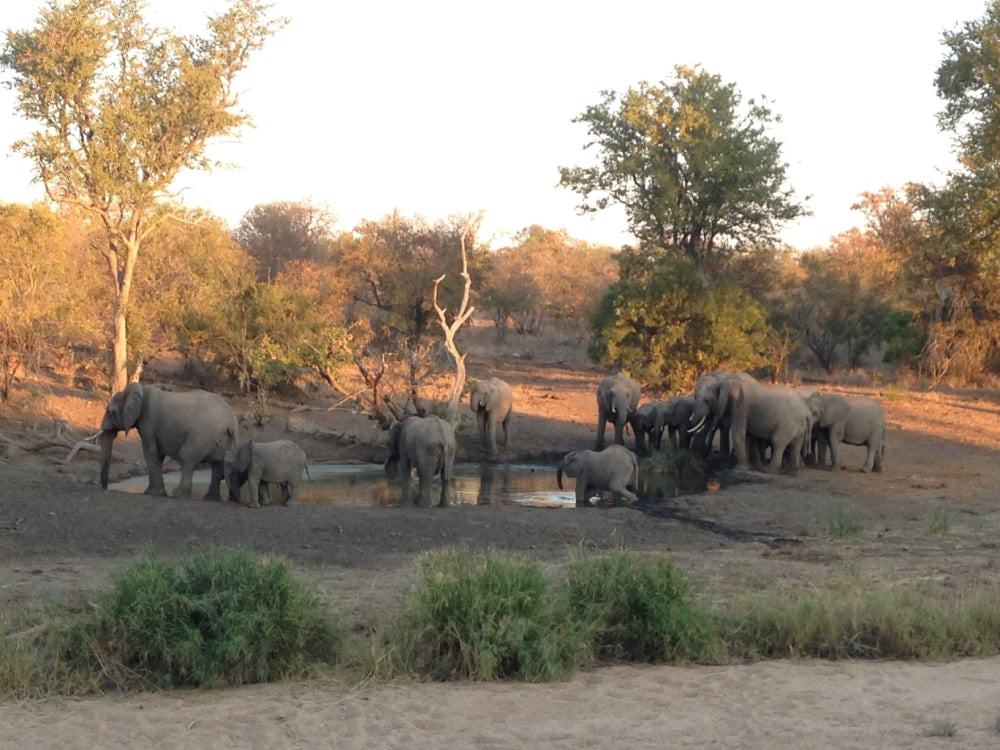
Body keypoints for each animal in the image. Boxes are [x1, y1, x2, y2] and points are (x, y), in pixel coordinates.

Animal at [98, 382, 237, 501]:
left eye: (110, 411)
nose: (105, 488)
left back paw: (178, 494)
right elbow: (158, 455)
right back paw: (210, 498)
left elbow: (150, 453)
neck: (139, 390)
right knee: (217, 464)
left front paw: (153, 493)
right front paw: (151, 492)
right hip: (222, 438)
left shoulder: (148, 421)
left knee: (187, 456)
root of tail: (231, 420)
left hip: (204, 434)